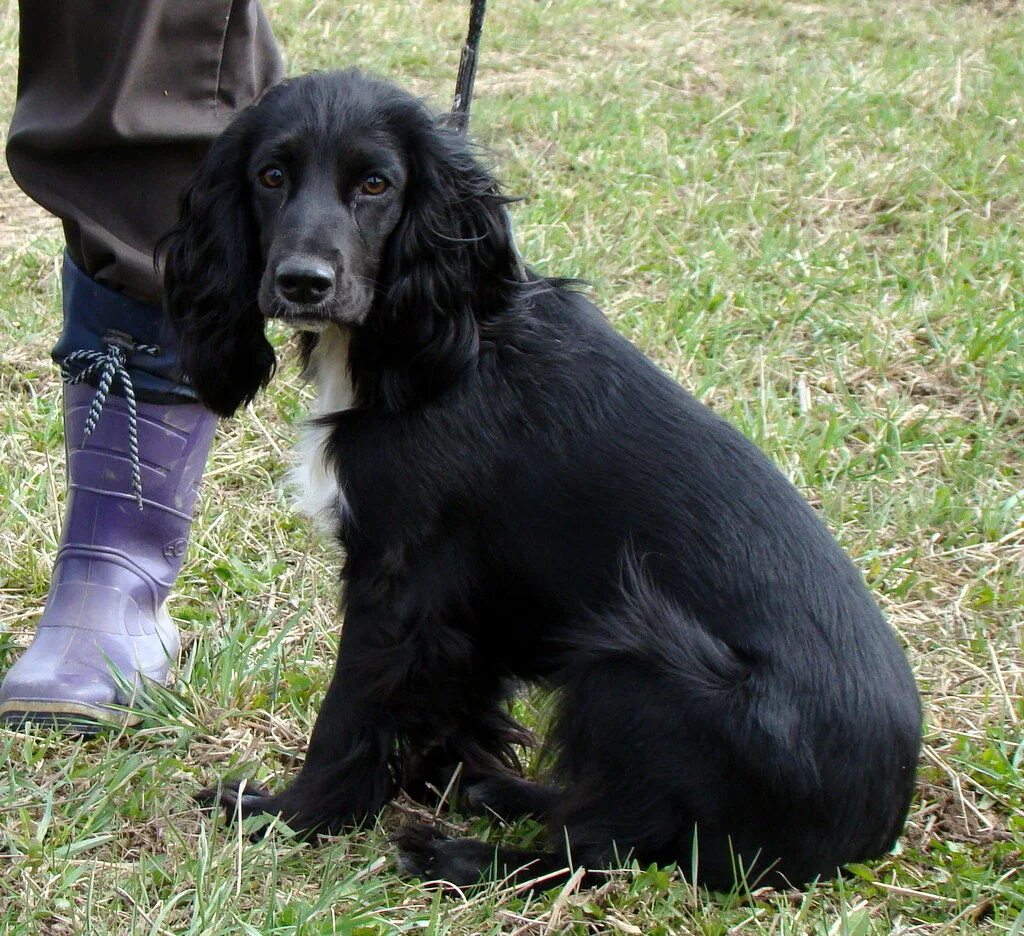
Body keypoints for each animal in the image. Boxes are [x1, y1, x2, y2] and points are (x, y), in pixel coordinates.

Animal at [165, 69, 921, 884]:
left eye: (375, 183)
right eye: (271, 176)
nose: (303, 283)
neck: (434, 345)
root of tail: (871, 833)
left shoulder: (400, 578)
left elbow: (349, 714)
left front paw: (288, 815)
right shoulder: (470, 607)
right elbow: (458, 705)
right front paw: (440, 777)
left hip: (635, 657)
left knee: (606, 847)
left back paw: (460, 854)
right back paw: (499, 795)